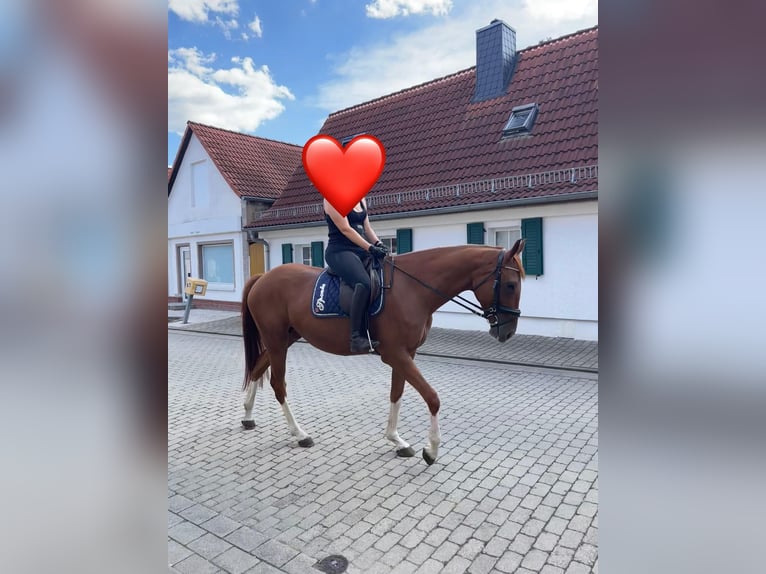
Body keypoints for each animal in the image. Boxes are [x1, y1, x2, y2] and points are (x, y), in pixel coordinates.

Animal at [240, 239, 526, 465]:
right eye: (511, 285)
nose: (507, 332)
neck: (413, 289)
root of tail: (262, 278)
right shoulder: (396, 354)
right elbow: (432, 397)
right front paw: (431, 450)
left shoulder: (406, 354)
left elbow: (396, 394)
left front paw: (397, 441)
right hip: (276, 341)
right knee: (278, 384)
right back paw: (300, 434)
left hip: (284, 339)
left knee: (258, 367)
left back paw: (248, 416)